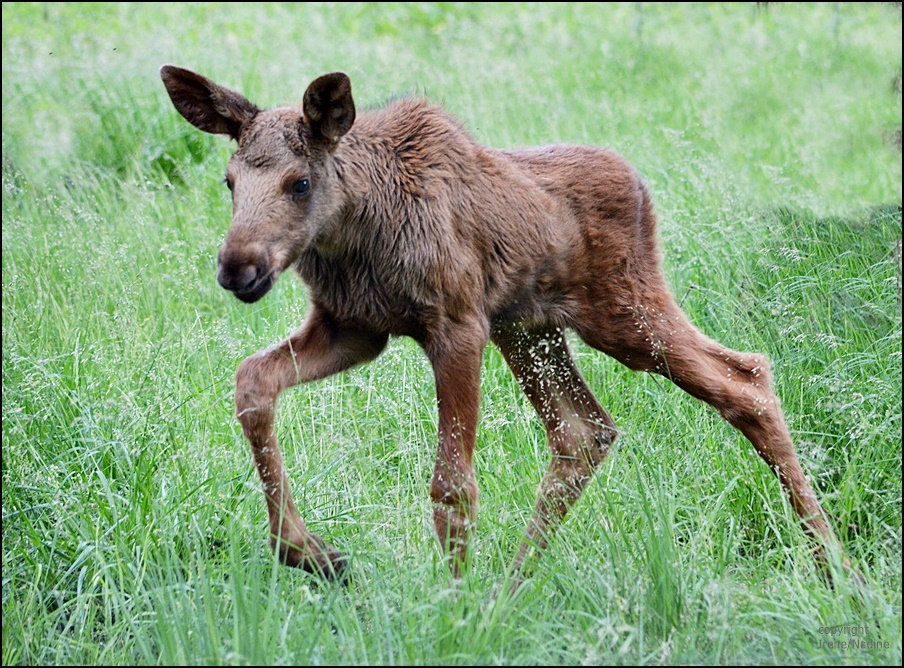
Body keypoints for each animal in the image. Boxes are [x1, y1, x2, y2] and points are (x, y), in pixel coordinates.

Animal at [161, 64, 848, 584]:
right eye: (229, 181)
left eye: (300, 181)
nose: (238, 266)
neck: (352, 235)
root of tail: (645, 190)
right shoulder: (354, 327)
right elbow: (252, 383)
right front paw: (310, 553)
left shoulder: (456, 324)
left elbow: (452, 486)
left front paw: (454, 610)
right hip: (530, 329)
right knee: (584, 431)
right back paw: (510, 590)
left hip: (623, 314)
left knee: (746, 379)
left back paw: (837, 570)